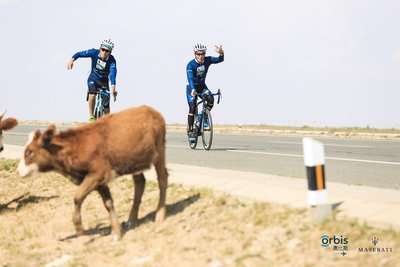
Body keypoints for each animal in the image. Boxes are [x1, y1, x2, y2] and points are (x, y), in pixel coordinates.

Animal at [16, 105, 167, 240]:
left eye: (29, 152)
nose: (19, 170)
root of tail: (152, 111)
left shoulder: (98, 174)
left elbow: (77, 196)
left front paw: (78, 226)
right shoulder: (99, 181)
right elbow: (108, 203)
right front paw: (116, 231)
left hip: (159, 153)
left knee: (162, 179)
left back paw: (160, 214)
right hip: (134, 162)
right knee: (140, 183)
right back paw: (131, 220)